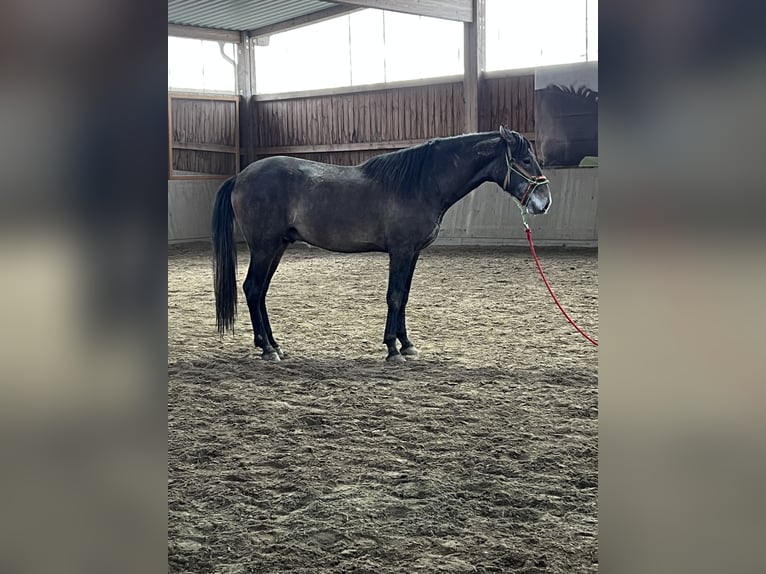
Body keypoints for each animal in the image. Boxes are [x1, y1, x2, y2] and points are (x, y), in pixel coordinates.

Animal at [213, 126, 556, 362]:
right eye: (526, 159)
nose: (544, 202)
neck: (420, 184)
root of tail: (241, 176)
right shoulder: (401, 251)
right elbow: (394, 296)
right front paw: (393, 348)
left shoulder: (412, 253)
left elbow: (404, 296)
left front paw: (407, 345)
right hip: (265, 247)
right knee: (253, 289)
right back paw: (267, 349)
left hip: (277, 247)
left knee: (259, 292)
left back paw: (273, 344)